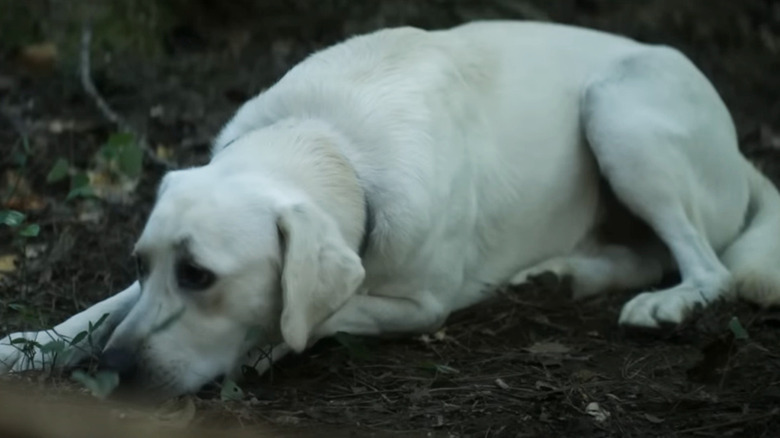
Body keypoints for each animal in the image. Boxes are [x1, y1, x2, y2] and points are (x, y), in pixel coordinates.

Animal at [1, 20, 780, 396]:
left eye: (201, 277)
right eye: (144, 263)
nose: (110, 372)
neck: (331, 142)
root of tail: (739, 149)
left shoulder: (422, 305)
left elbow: (325, 312)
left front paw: (269, 345)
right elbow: (96, 312)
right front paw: (27, 343)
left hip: (618, 109)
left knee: (704, 265)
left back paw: (668, 303)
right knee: (644, 253)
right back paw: (565, 275)